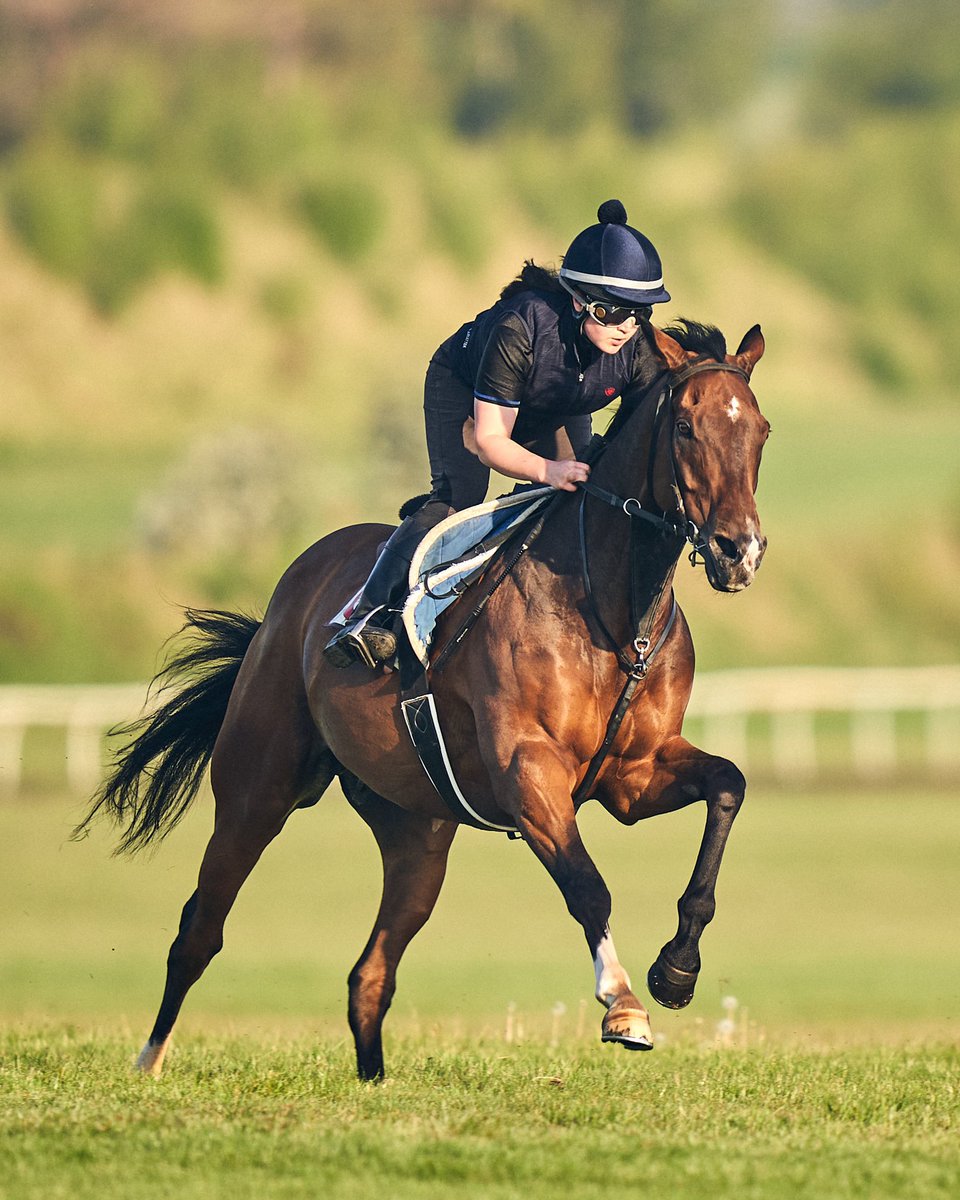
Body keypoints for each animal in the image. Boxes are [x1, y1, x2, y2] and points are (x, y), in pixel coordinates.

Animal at [76, 318, 769, 1081]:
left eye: (760, 429)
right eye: (686, 427)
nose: (739, 551)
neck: (613, 611)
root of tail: (287, 599)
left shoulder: (633, 775)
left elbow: (728, 786)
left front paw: (677, 968)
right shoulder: (528, 771)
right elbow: (588, 885)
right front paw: (622, 1004)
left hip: (417, 831)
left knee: (370, 973)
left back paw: (373, 1080)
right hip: (257, 791)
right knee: (200, 929)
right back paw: (150, 1058)